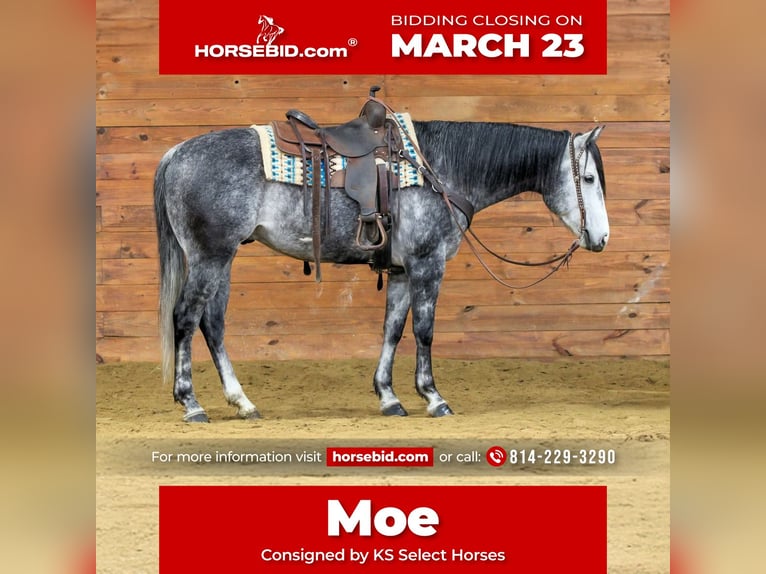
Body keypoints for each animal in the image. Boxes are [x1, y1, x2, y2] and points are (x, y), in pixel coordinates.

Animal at [154, 116, 609, 422]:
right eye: (588, 178)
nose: (601, 238)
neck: (439, 169)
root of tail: (175, 153)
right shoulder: (427, 264)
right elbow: (424, 331)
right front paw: (433, 397)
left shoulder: (403, 272)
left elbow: (393, 329)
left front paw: (389, 397)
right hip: (211, 256)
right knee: (186, 318)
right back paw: (191, 403)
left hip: (222, 259)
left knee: (212, 324)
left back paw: (242, 402)